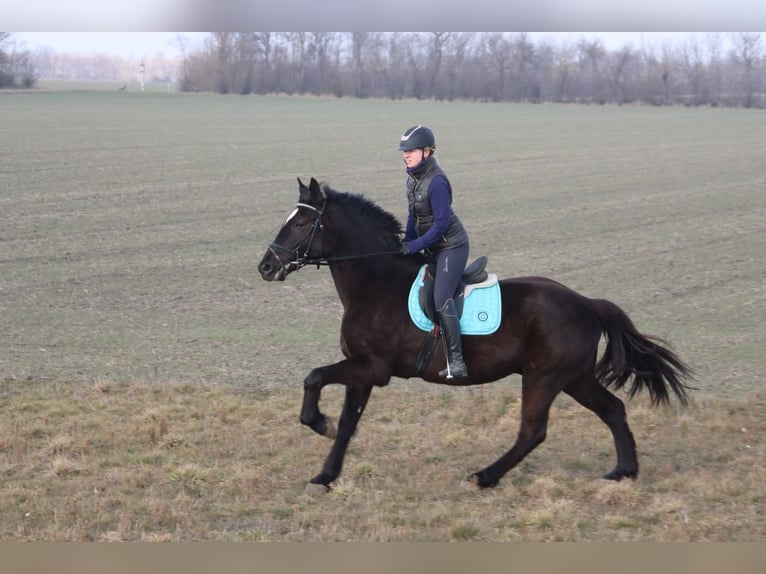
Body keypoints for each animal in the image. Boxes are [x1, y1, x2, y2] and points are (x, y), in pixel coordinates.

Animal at [258, 179, 696, 490]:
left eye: (301, 223)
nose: (266, 266)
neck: (376, 283)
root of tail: (586, 303)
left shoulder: (373, 367)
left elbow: (313, 377)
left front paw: (318, 423)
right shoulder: (361, 369)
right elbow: (349, 422)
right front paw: (325, 475)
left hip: (545, 377)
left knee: (533, 431)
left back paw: (484, 477)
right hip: (575, 377)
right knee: (613, 410)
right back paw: (623, 471)